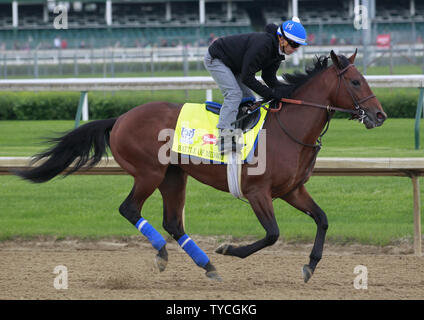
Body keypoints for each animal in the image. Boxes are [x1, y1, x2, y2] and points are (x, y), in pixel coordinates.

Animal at [13, 49, 388, 282]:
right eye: (356, 81)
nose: (380, 115)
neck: (289, 129)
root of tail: (120, 118)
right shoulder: (258, 192)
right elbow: (272, 234)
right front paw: (229, 249)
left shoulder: (293, 190)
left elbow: (322, 219)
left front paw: (310, 266)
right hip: (149, 172)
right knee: (130, 209)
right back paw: (166, 254)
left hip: (173, 176)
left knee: (173, 222)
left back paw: (207, 266)